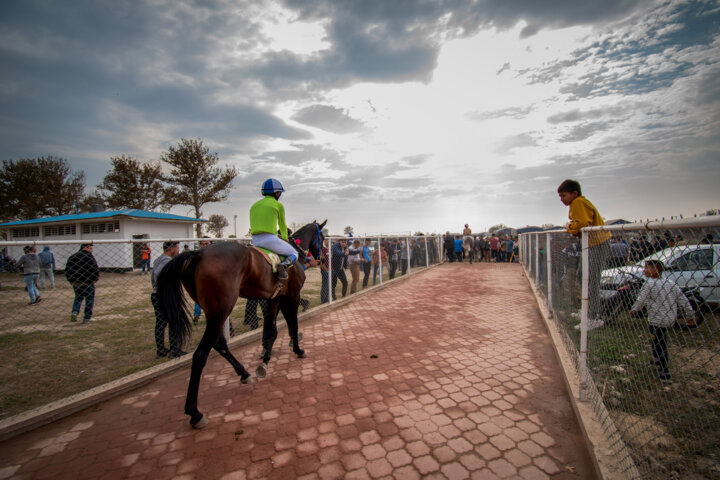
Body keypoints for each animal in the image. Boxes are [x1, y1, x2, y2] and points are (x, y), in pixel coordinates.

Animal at [158, 220, 330, 428]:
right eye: (322, 236)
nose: (321, 257)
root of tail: (198, 254)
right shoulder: (292, 295)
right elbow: (292, 325)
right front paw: (298, 349)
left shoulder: (274, 298)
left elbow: (270, 331)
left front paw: (265, 360)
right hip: (221, 309)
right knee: (200, 355)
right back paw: (195, 412)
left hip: (213, 311)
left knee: (219, 343)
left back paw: (244, 373)